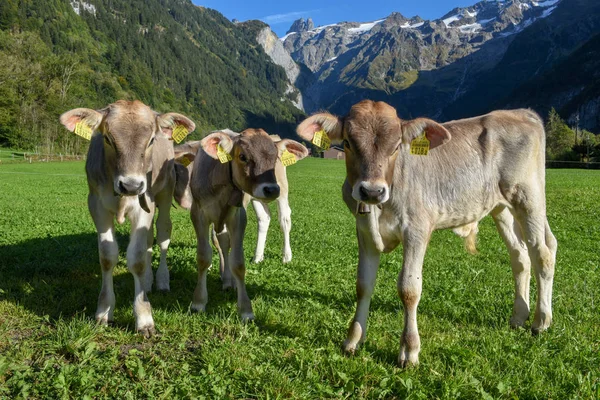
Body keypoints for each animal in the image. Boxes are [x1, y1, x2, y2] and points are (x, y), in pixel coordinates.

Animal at [59, 100, 195, 334]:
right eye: (107, 138)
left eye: (151, 140)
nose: (130, 185)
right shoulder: (97, 205)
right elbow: (107, 257)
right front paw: (103, 312)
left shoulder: (144, 203)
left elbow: (137, 259)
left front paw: (144, 318)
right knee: (148, 239)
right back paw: (148, 281)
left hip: (165, 192)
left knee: (163, 234)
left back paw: (161, 280)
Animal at [298, 99, 556, 366]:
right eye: (348, 143)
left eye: (397, 146)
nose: (372, 191)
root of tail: (520, 112)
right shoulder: (365, 233)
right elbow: (363, 285)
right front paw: (353, 339)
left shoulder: (417, 229)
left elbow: (409, 289)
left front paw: (409, 350)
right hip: (501, 208)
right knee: (520, 256)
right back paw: (519, 316)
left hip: (529, 198)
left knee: (543, 254)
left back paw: (541, 320)